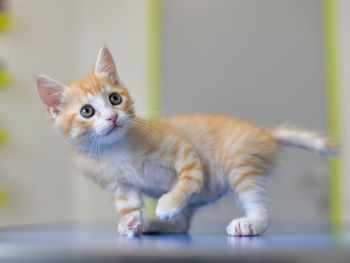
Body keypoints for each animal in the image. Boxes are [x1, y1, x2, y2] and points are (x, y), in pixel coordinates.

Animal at [34, 46, 336, 237]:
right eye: (87, 111)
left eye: (115, 98)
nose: (112, 117)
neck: (115, 149)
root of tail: (264, 132)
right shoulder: (118, 182)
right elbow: (128, 202)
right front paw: (130, 223)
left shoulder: (180, 148)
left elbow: (190, 178)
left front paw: (168, 203)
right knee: (182, 227)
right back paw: (153, 224)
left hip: (241, 161)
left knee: (256, 199)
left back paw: (251, 223)